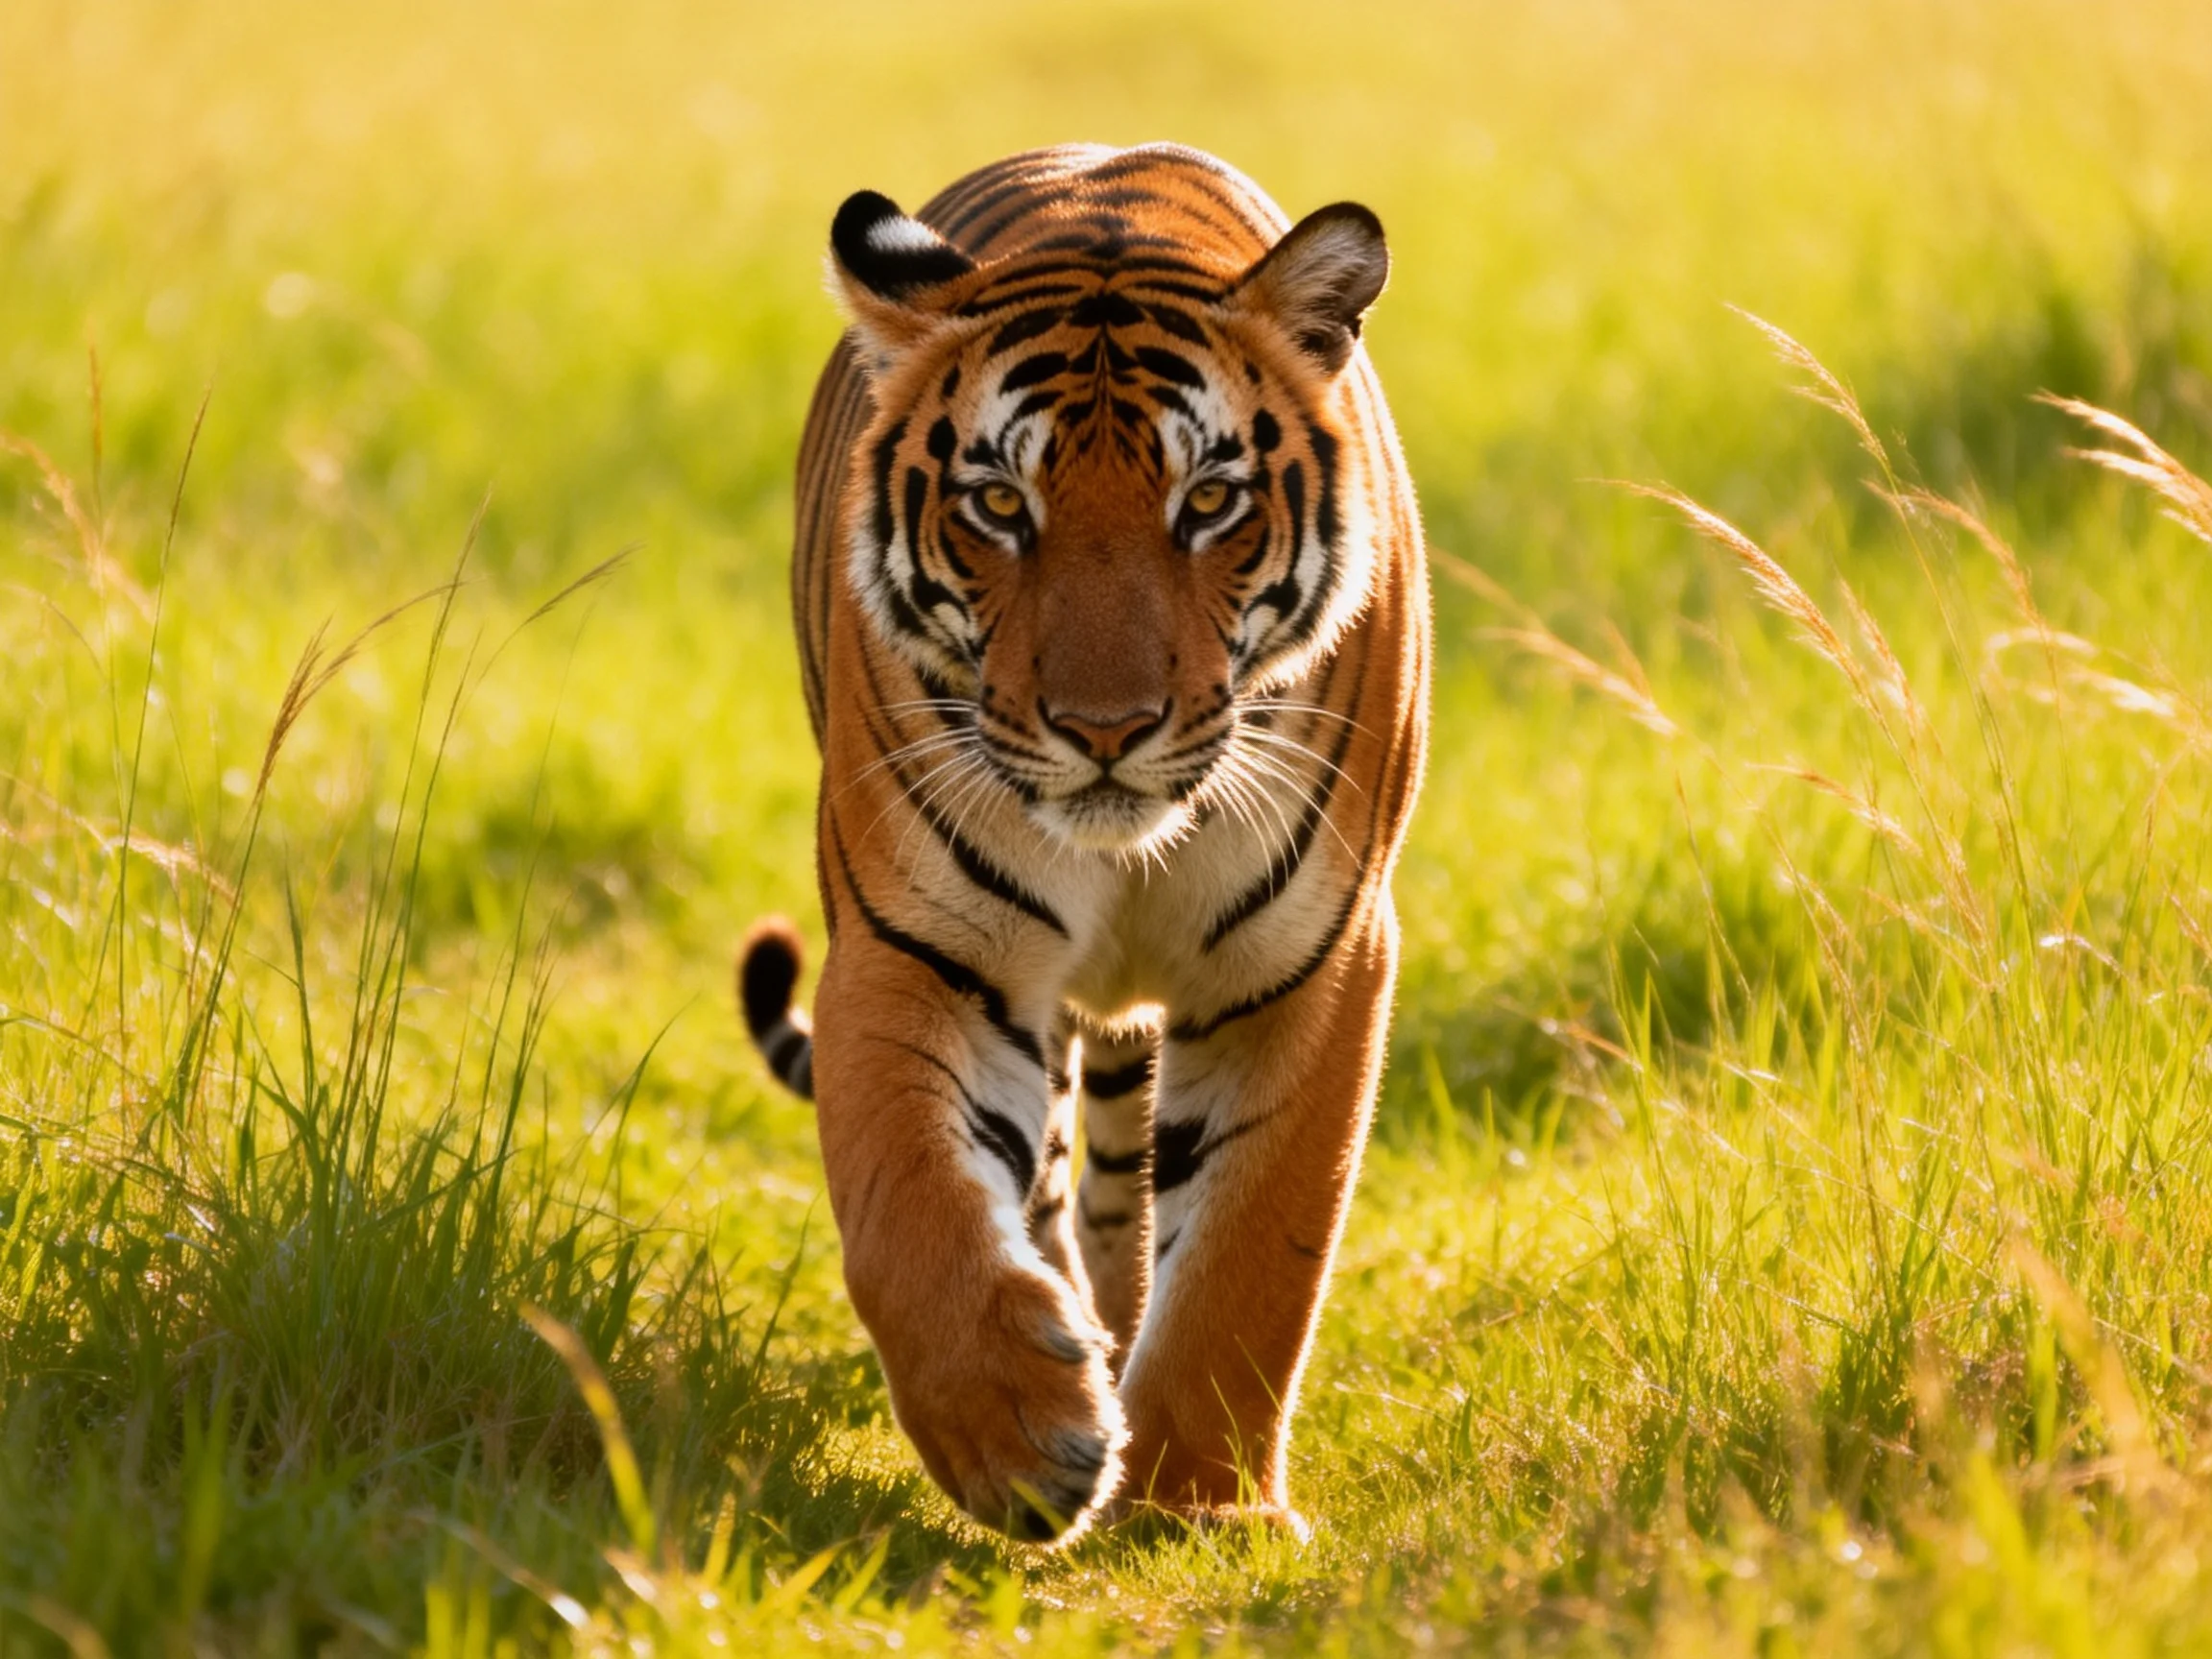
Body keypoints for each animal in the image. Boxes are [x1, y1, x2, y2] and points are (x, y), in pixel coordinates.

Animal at [738, 142, 1429, 1544]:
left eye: (1208, 502)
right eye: (1001, 505)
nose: (1104, 730)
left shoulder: (1312, 961)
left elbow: (1256, 1250)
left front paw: (1201, 1502)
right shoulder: (918, 948)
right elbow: (908, 1197)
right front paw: (1019, 1432)